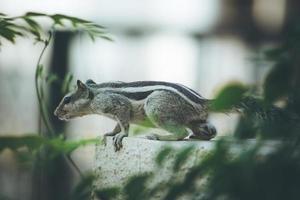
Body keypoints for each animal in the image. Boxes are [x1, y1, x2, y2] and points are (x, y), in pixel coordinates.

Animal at [54, 79, 217, 151]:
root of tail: (202, 101)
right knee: (211, 131)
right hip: (196, 120)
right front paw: (109, 133)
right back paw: (197, 136)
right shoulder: (115, 114)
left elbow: (124, 124)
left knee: (181, 133)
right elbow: (117, 125)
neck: (95, 94)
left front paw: (121, 135)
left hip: (155, 107)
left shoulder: (118, 105)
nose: (55, 113)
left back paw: (157, 136)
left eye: (67, 99)